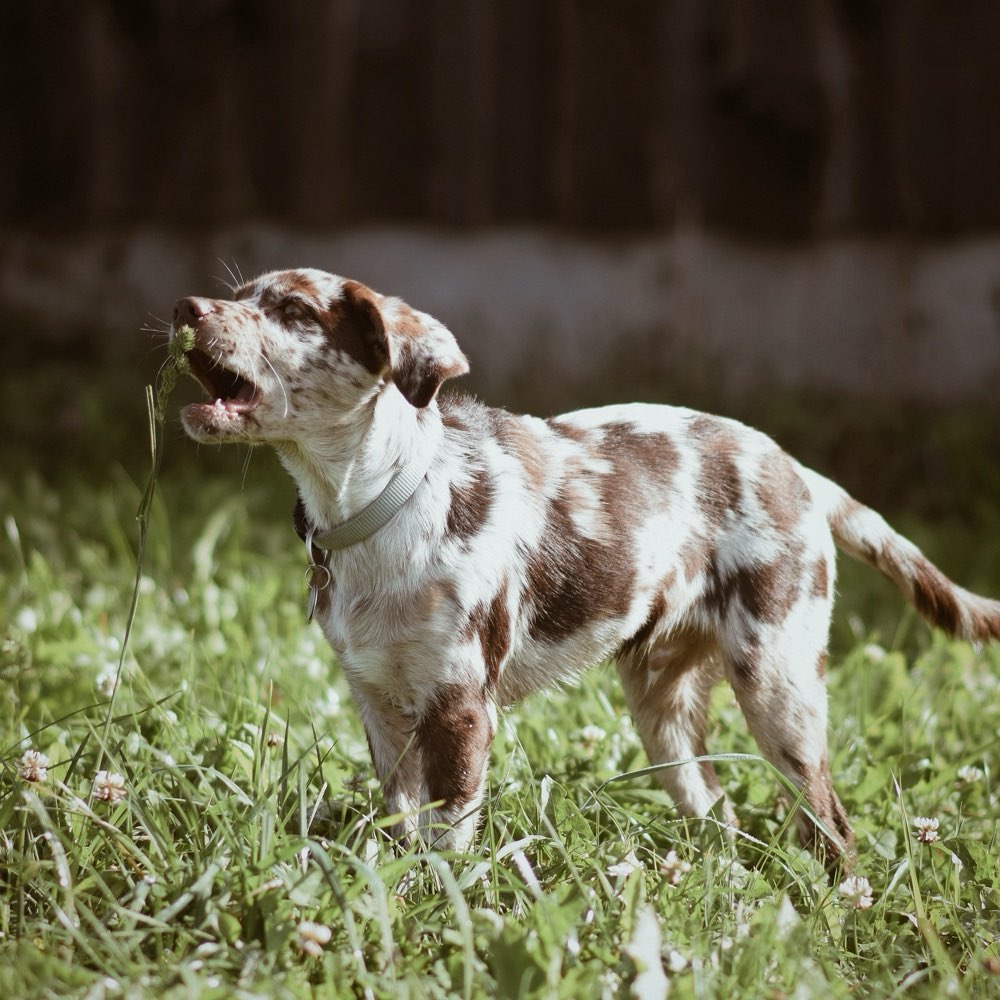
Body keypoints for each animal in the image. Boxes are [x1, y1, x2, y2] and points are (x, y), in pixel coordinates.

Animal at [174, 268, 1000, 868]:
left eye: (293, 310)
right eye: (239, 293)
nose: (185, 305)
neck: (382, 503)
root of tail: (798, 472)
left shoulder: (460, 707)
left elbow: (449, 839)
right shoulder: (377, 700)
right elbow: (403, 826)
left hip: (780, 688)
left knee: (829, 824)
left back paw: (841, 905)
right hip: (664, 708)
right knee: (720, 812)